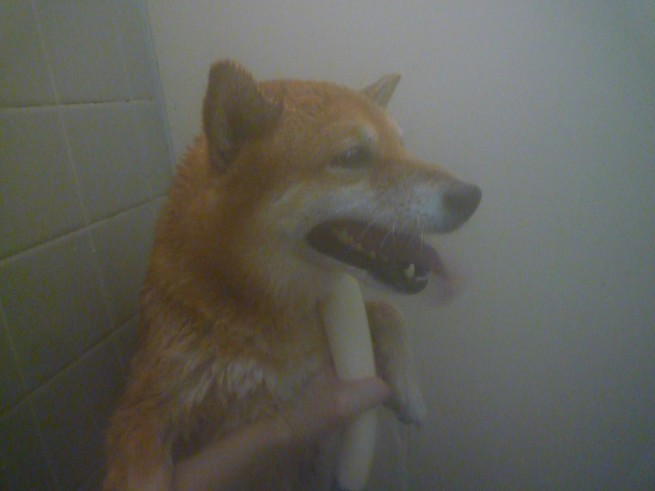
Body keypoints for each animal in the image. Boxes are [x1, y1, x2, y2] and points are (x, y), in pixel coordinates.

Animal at [104, 60, 481, 490]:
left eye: (402, 145)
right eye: (352, 156)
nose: (472, 196)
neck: (249, 300)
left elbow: (389, 311)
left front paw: (410, 391)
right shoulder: (143, 408)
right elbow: (141, 469)